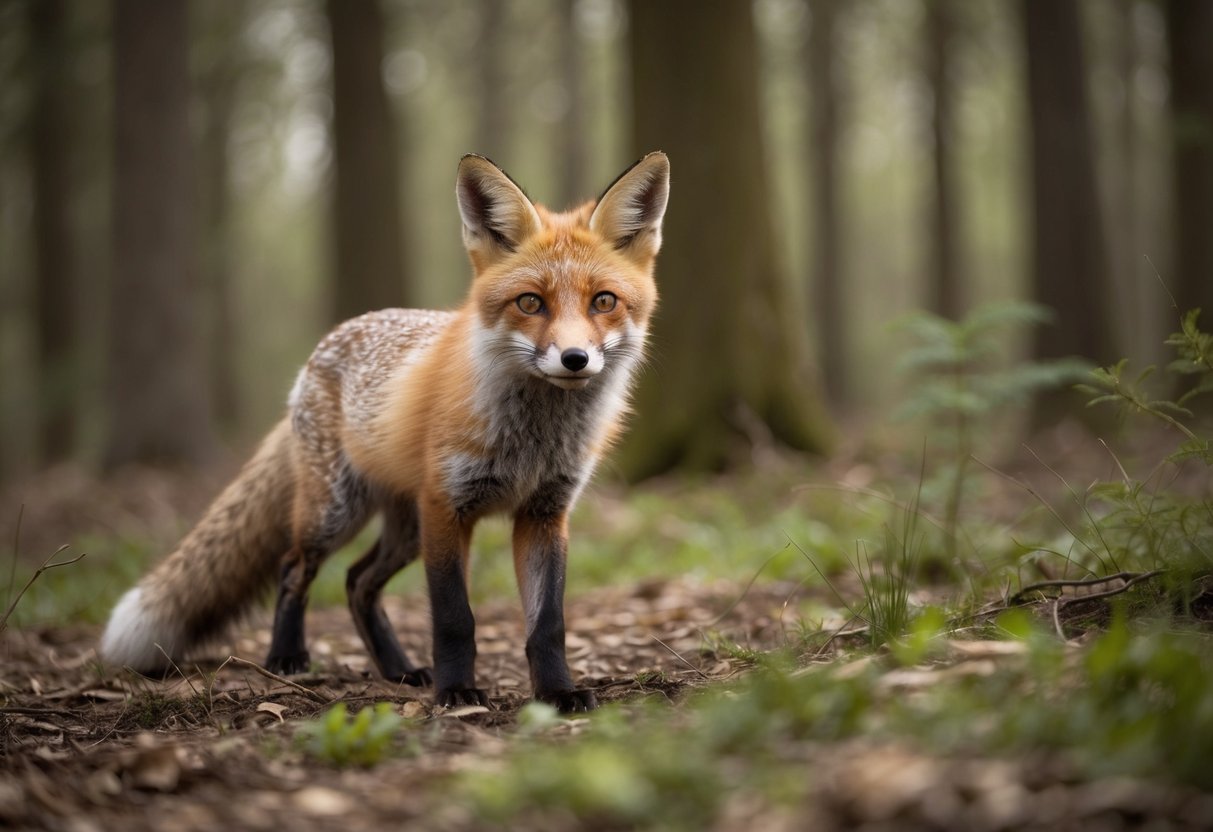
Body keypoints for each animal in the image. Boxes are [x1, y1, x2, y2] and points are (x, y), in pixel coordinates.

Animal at [99, 152, 670, 713]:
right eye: (530, 303)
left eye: (603, 301)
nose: (575, 359)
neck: (533, 439)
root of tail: (321, 351)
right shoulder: (446, 507)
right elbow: (454, 618)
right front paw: (457, 693)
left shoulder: (545, 513)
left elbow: (548, 623)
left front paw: (556, 693)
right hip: (338, 513)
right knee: (293, 567)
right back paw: (287, 656)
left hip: (405, 529)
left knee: (358, 582)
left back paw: (398, 670)